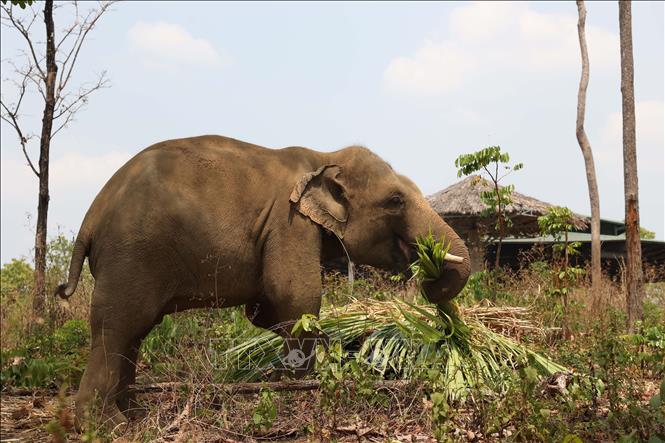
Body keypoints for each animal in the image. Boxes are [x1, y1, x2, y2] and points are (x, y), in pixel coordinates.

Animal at [56, 135, 470, 426]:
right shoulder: (289, 224)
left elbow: (263, 310)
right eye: (396, 201)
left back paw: (132, 414)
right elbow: (294, 296)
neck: (320, 157)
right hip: (131, 255)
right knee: (118, 326)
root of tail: (91, 215)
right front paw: (301, 385)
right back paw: (108, 426)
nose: (430, 272)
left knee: (132, 333)